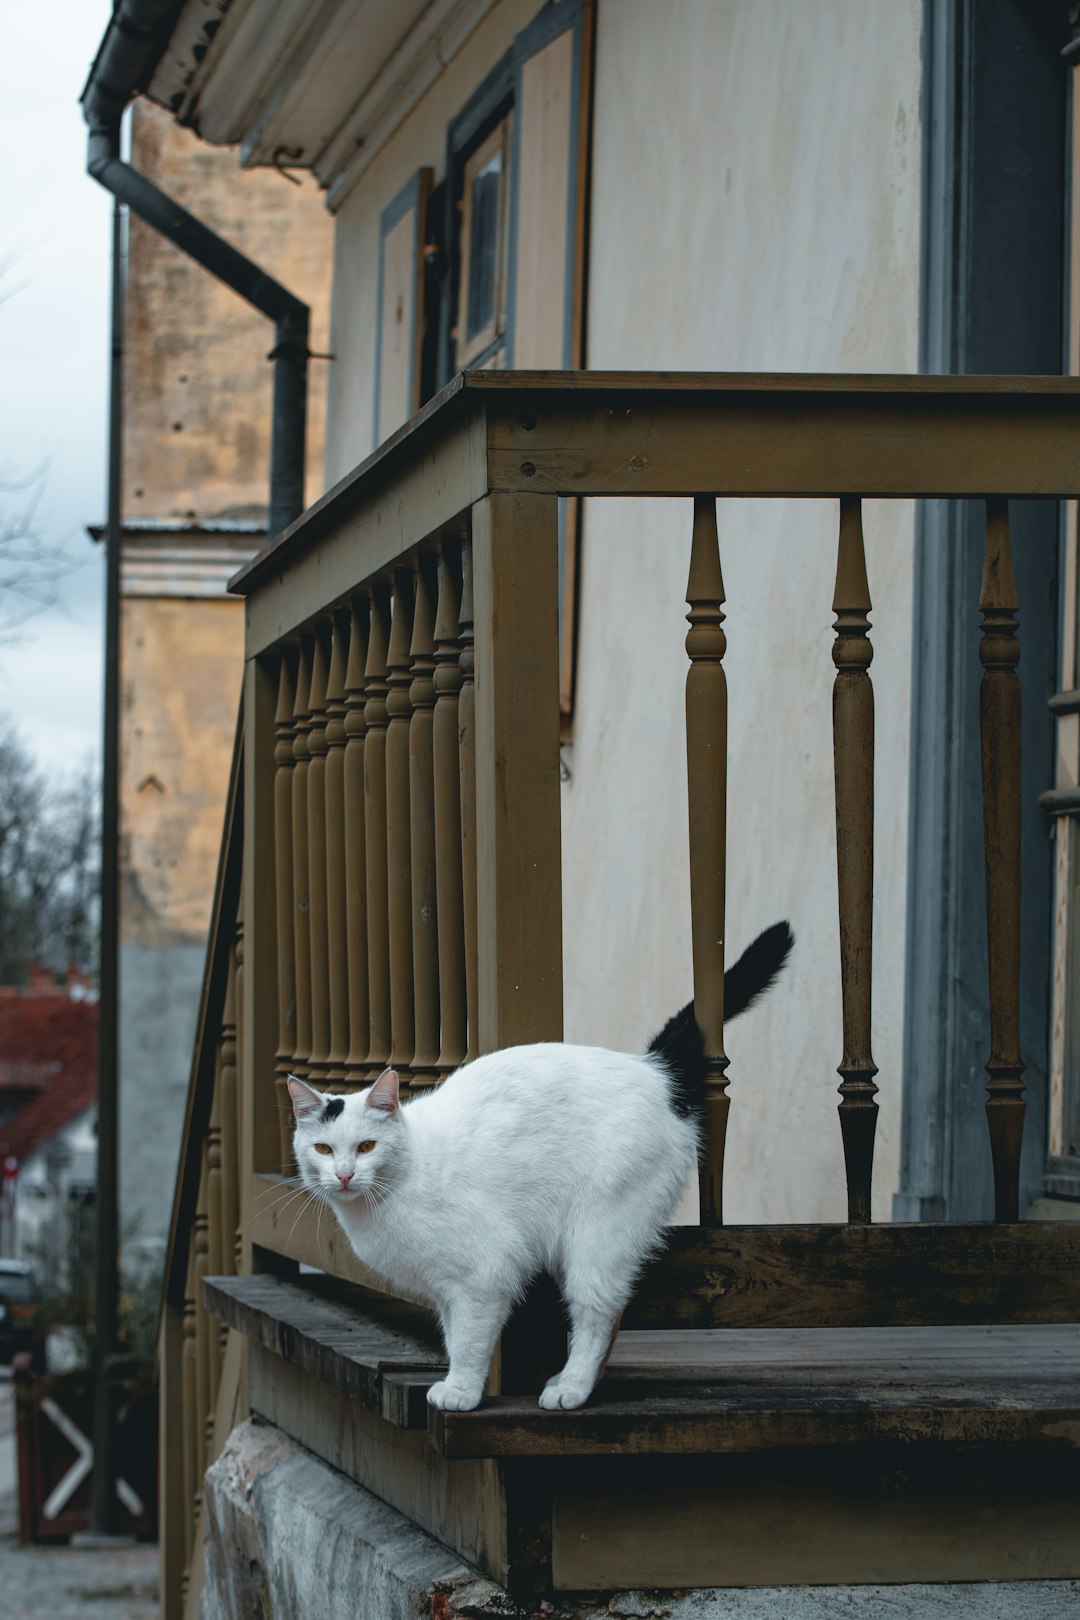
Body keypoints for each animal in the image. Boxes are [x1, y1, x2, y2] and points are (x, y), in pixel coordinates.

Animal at [286, 920, 793, 1412]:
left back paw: (572, 1389)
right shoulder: (447, 1291)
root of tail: (652, 1070)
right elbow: (453, 1335)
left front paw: (462, 1391)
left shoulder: (483, 1276)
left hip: (597, 1237)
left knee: (600, 1312)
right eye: (324, 1149)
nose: (344, 1174)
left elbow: (469, 1341)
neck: (402, 1180)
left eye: (367, 1146)